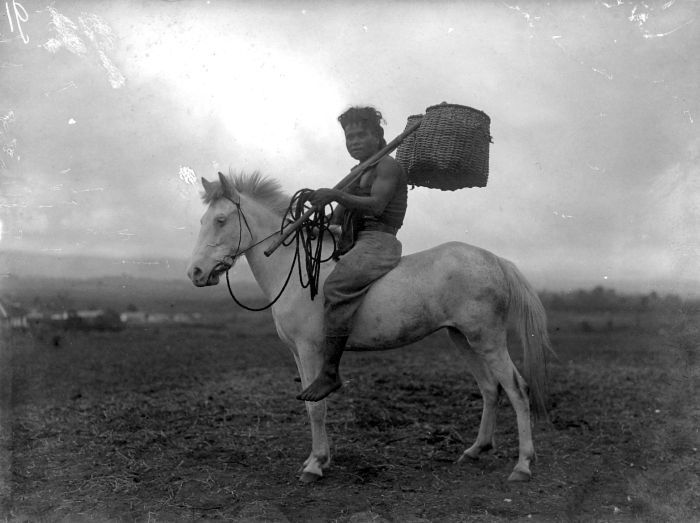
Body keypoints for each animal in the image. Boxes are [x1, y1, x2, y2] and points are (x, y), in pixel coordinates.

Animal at [186, 172, 552, 484]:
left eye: (221, 220)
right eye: (202, 221)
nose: (195, 273)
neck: (292, 268)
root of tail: (496, 261)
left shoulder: (310, 349)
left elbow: (316, 407)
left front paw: (315, 465)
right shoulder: (296, 353)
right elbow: (309, 406)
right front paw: (319, 459)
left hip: (488, 340)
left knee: (517, 389)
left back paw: (522, 465)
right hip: (463, 338)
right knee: (490, 388)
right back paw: (475, 450)